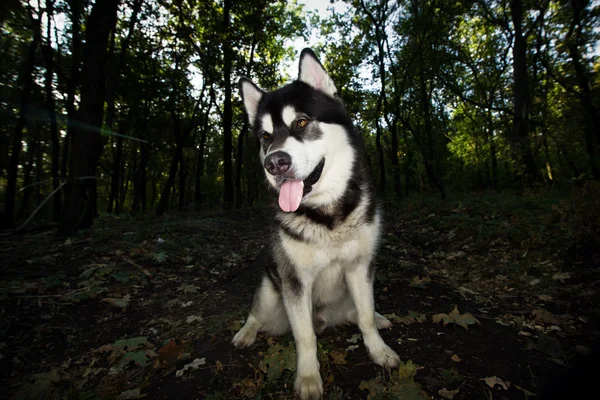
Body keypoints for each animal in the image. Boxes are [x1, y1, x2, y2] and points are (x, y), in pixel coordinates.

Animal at [233, 48, 398, 398]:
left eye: (301, 122)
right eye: (265, 136)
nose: (275, 163)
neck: (327, 215)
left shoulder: (361, 268)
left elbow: (365, 317)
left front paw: (379, 351)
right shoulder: (295, 281)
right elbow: (305, 336)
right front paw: (308, 378)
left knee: (357, 312)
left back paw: (379, 318)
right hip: (270, 287)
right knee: (256, 313)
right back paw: (246, 333)